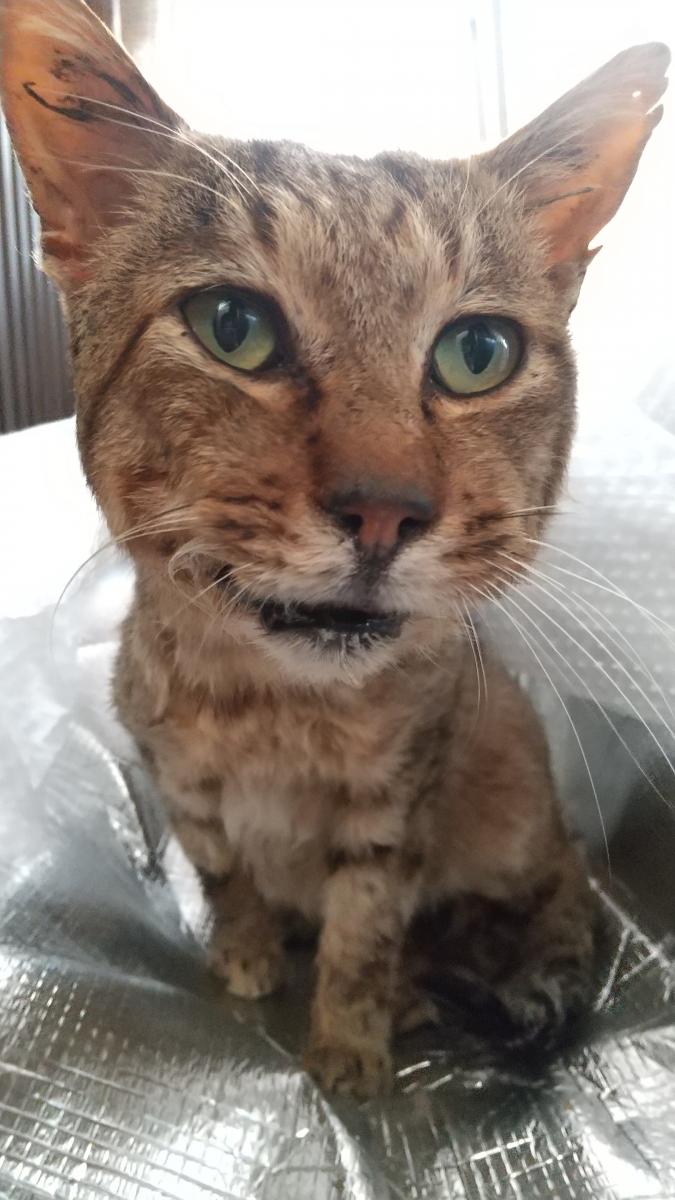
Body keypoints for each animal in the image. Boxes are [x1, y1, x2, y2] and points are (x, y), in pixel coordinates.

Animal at [0, 0, 668, 1097]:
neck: (273, 716)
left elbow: (363, 934)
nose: (385, 511)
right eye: (232, 326)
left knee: (524, 919)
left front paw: (350, 1045)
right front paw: (244, 956)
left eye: (477, 352)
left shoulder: (394, 813)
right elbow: (228, 880)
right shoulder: (186, 793)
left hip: (520, 828)